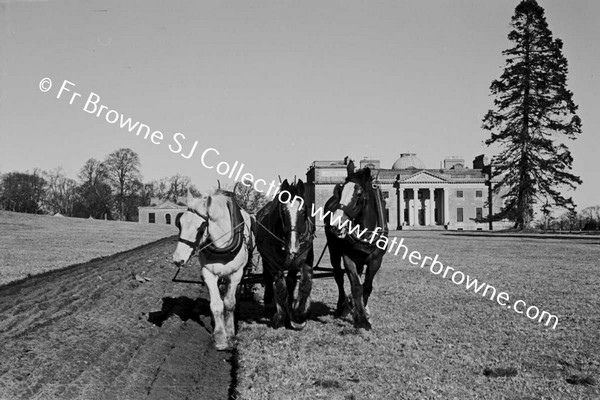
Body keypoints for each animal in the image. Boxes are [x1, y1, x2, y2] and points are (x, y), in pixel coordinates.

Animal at [171, 189, 253, 348]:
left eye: (200, 227)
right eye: (180, 223)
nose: (178, 259)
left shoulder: (235, 275)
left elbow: (229, 303)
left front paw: (230, 333)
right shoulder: (208, 274)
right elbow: (216, 304)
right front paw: (220, 337)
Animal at [255, 180, 316, 330]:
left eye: (303, 210)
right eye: (282, 211)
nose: (293, 247)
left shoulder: (304, 260)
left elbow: (305, 284)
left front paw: (299, 314)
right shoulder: (274, 263)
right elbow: (281, 288)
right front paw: (281, 317)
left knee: (291, 282)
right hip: (266, 260)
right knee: (268, 278)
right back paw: (270, 304)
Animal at [326, 161, 386, 330]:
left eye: (358, 194)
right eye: (341, 191)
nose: (336, 225)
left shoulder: (376, 260)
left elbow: (367, 286)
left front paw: (363, 311)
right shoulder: (348, 257)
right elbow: (356, 286)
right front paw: (361, 319)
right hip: (334, 251)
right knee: (339, 277)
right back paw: (342, 306)